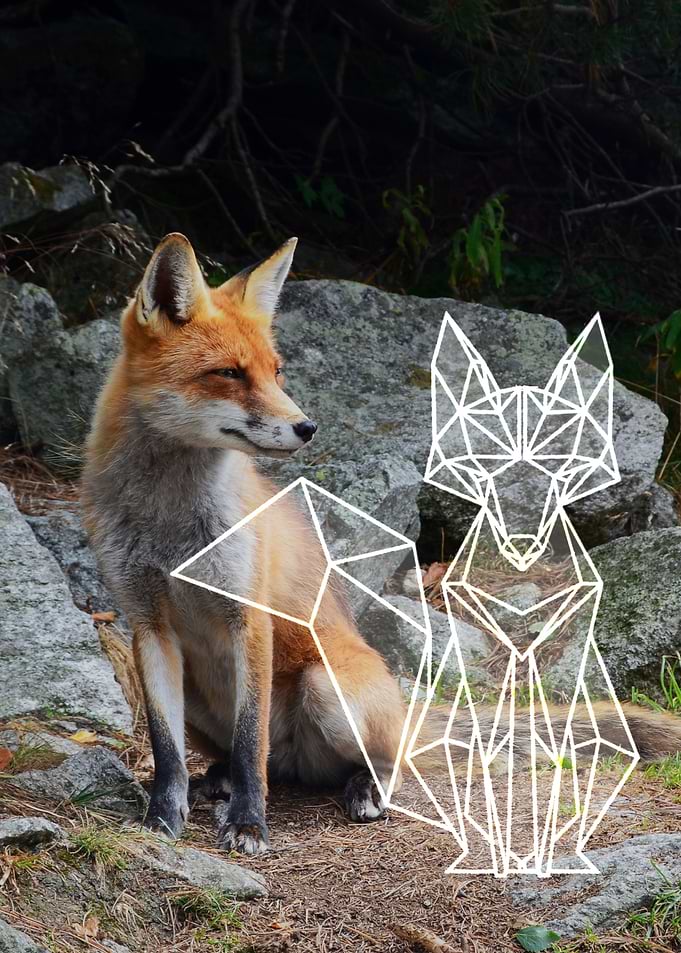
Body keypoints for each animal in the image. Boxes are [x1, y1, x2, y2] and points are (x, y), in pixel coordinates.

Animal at [82, 232, 681, 856]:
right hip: (200, 693)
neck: (168, 523)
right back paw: (218, 780)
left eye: (276, 371)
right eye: (229, 373)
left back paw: (366, 788)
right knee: (256, 759)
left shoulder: (249, 617)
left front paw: (249, 823)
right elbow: (166, 750)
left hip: (327, 690)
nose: (307, 428)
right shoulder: (148, 624)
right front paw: (161, 819)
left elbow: (251, 745)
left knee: (374, 759)